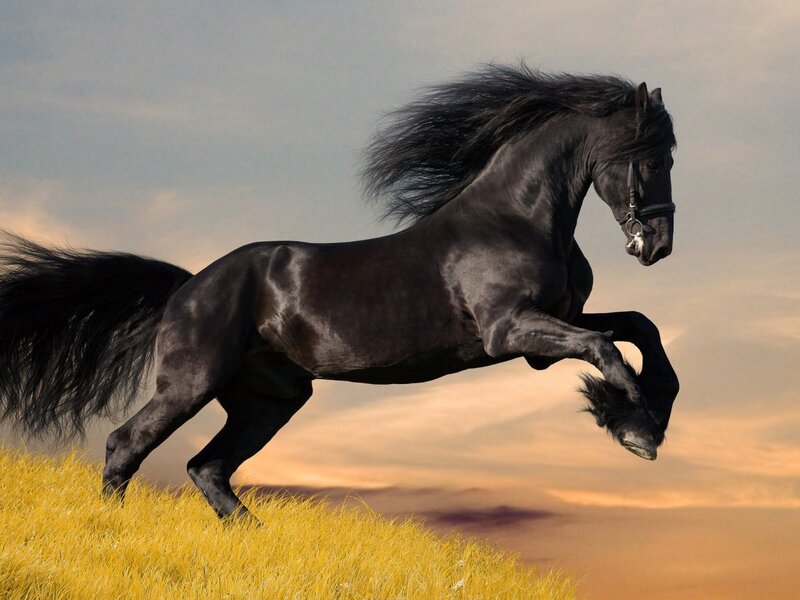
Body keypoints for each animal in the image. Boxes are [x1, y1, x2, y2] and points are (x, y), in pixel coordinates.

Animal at [0, 64, 679, 520]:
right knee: (127, 445)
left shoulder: (549, 331)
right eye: (652, 159)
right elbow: (606, 348)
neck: (514, 218)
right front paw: (636, 431)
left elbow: (639, 328)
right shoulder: (510, 330)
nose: (658, 245)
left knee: (208, 467)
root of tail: (188, 286)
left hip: (270, 399)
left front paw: (647, 417)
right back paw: (111, 527)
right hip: (190, 383)